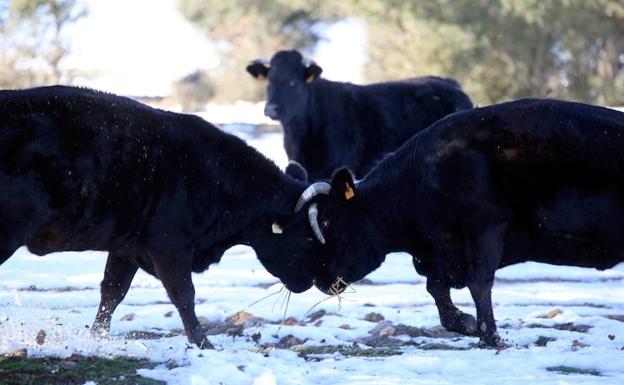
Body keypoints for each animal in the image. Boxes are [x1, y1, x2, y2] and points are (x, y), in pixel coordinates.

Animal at [0, 85, 322, 348]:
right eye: (307, 236)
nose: (312, 281)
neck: (217, 178)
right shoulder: (170, 249)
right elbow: (184, 294)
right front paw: (202, 342)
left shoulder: (127, 248)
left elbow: (112, 292)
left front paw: (98, 338)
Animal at [294, 98, 624, 344]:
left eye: (328, 222)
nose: (319, 279)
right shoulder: (439, 254)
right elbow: (436, 290)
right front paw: (465, 323)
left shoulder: (485, 230)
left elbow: (479, 283)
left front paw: (488, 336)